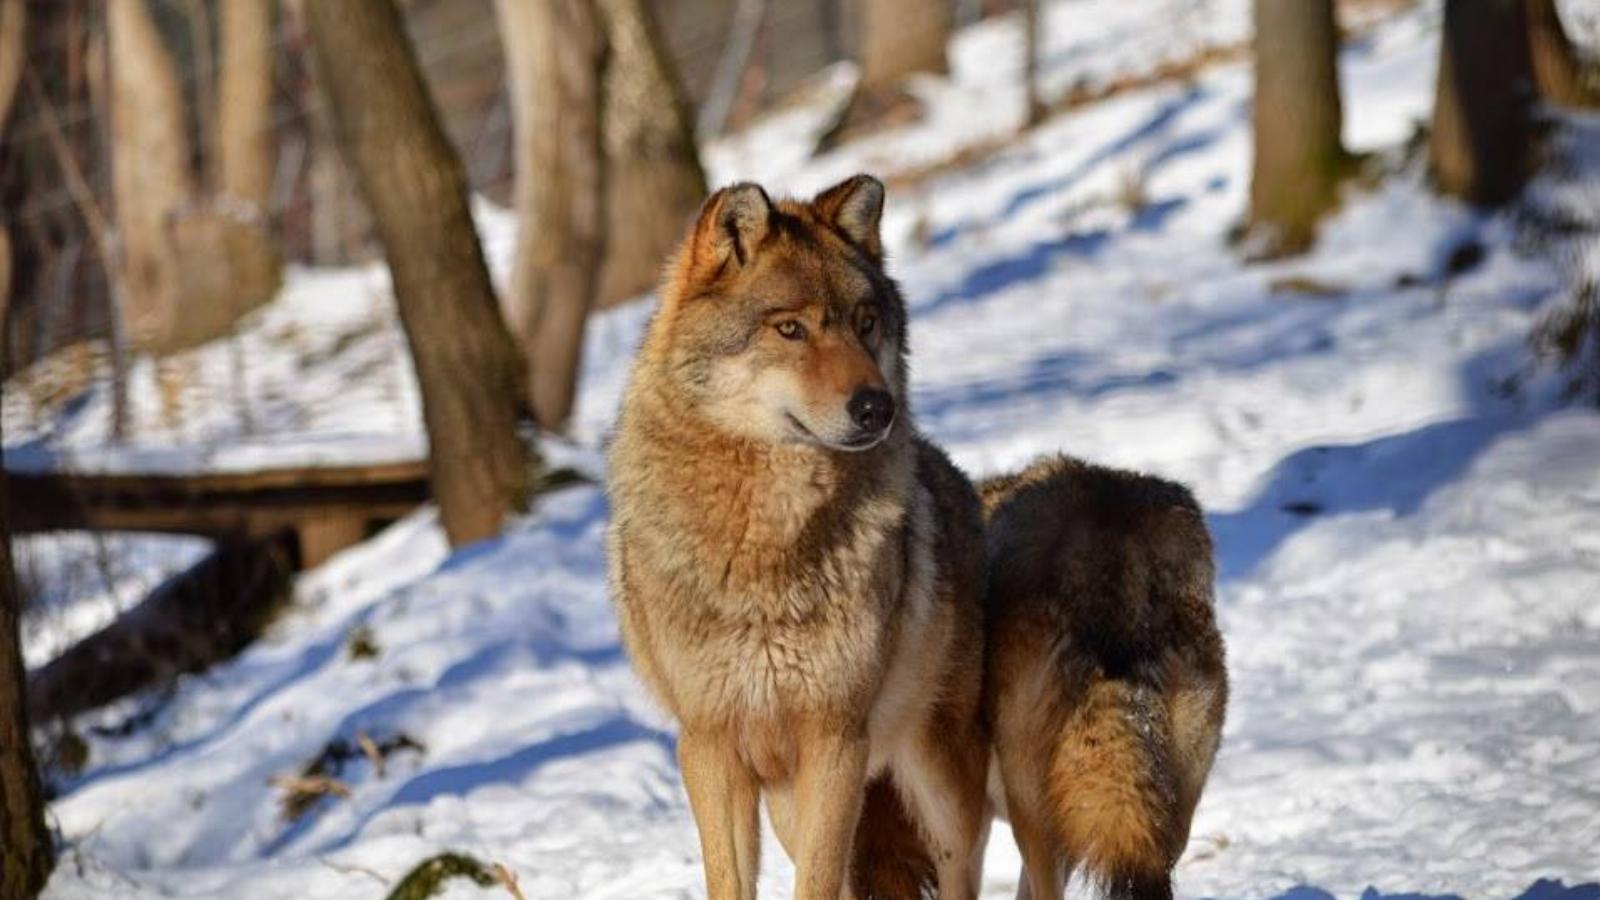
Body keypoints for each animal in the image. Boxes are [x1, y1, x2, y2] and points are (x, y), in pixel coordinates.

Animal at [608, 175, 985, 896]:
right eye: (791, 329)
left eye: (866, 322)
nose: (876, 407)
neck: (761, 547)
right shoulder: (710, 746)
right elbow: (733, 881)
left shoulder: (837, 740)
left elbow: (816, 882)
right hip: (787, 801)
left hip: (937, 787)